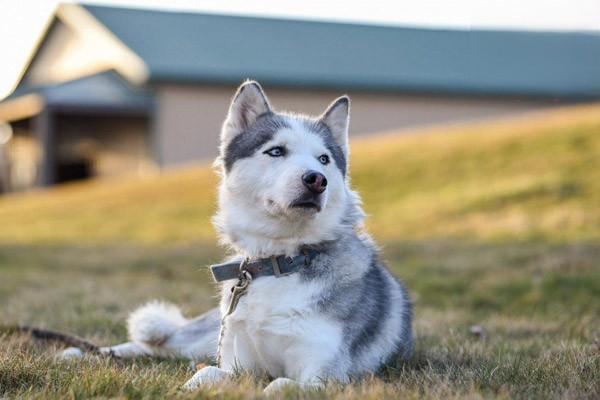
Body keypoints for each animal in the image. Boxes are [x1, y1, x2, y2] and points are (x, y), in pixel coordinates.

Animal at [64, 81, 412, 394]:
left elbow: (278, 385)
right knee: (159, 345)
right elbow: (204, 375)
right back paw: (82, 353)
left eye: (324, 159)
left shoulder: (327, 377)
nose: (316, 180)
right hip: (204, 337)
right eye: (276, 151)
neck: (279, 262)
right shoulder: (235, 362)